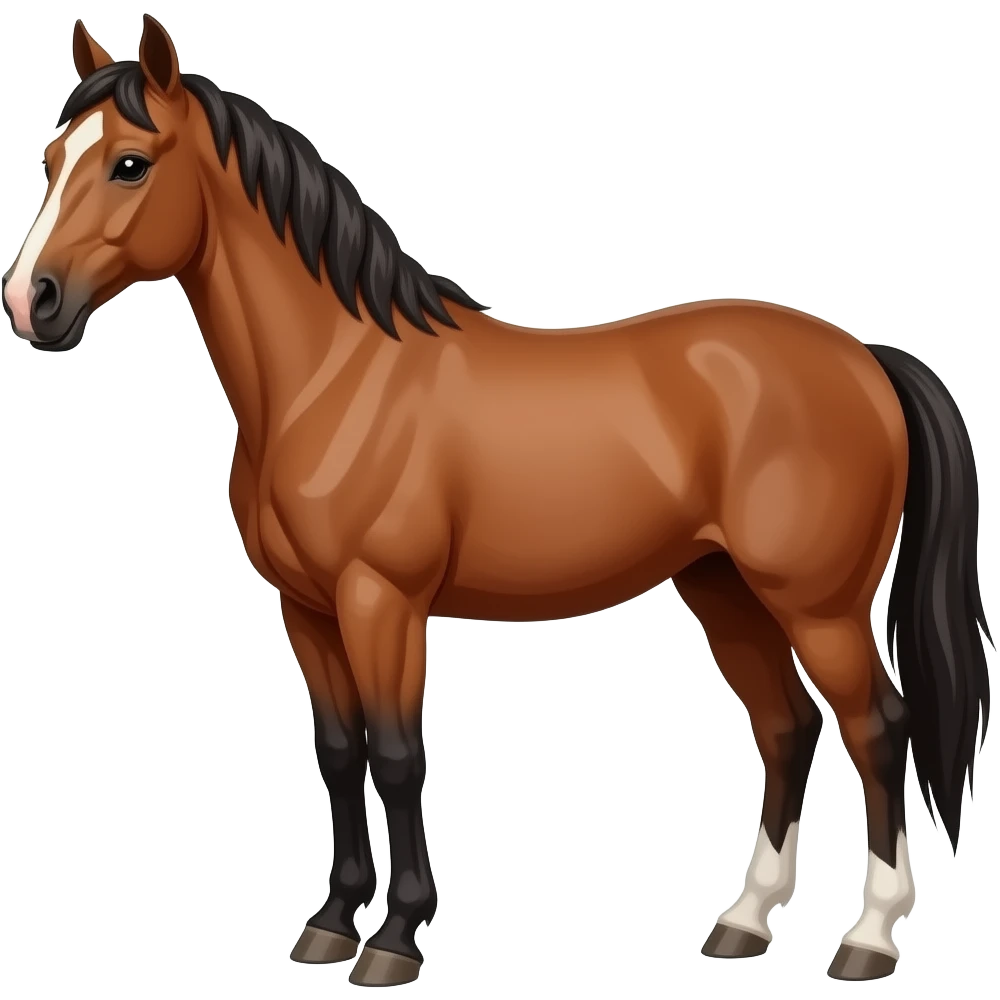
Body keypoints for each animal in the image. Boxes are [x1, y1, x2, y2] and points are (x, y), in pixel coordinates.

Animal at [2, 14, 992, 987]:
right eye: (52, 157)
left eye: (131, 163)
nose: (30, 300)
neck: (335, 376)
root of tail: (865, 358)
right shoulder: (306, 608)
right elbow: (339, 753)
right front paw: (329, 924)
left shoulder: (382, 601)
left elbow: (397, 754)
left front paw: (395, 939)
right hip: (724, 588)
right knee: (787, 728)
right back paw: (743, 923)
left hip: (817, 604)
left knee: (878, 729)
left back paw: (868, 939)